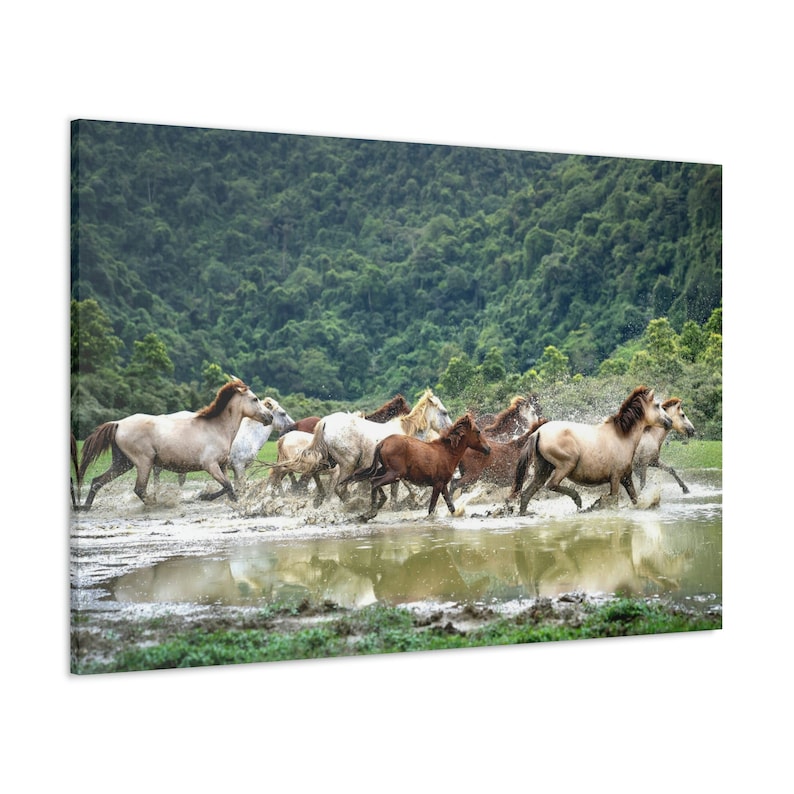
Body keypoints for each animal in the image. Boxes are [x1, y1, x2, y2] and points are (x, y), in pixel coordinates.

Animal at [77, 378, 273, 510]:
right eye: (255, 399)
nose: (269, 417)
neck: (217, 428)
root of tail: (118, 423)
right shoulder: (210, 465)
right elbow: (229, 487)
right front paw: (236, 504)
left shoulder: (223, 465)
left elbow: (227, 486)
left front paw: (205, 496)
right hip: (144, 462)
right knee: (139, 489)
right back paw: (156, 505)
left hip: (122, 463)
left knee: (97, 482)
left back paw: (85, 507)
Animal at [280, 388, 452, 503]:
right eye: (444, 412)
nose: (449, 432)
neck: (406, 433)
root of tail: (325, 421)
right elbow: (409, 488)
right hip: (348, 464)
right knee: (338, 488)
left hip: (332, 463)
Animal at [344, 413, 491, 519]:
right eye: (478, 431)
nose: (488, 448)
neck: (447, 452)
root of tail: (382, 443)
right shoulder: (437, 484)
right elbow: (431, 508)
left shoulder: (443, 484)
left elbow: (451, 507)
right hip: (394, 474)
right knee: (374, 481)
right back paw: (371, 512)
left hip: (385, 470)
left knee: (371, 478)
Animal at [511, 386, 672, 515]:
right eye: (657, 405)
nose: (670, 421)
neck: (623, 437)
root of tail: (538, 432)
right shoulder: (615, 478)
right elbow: (614, 500)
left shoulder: (626, 478)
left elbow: (635, 499)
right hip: (566, 464)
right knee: (551, 485)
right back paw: (578, 500)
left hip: (543, 469)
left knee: (527, 493)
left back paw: (525, 513)